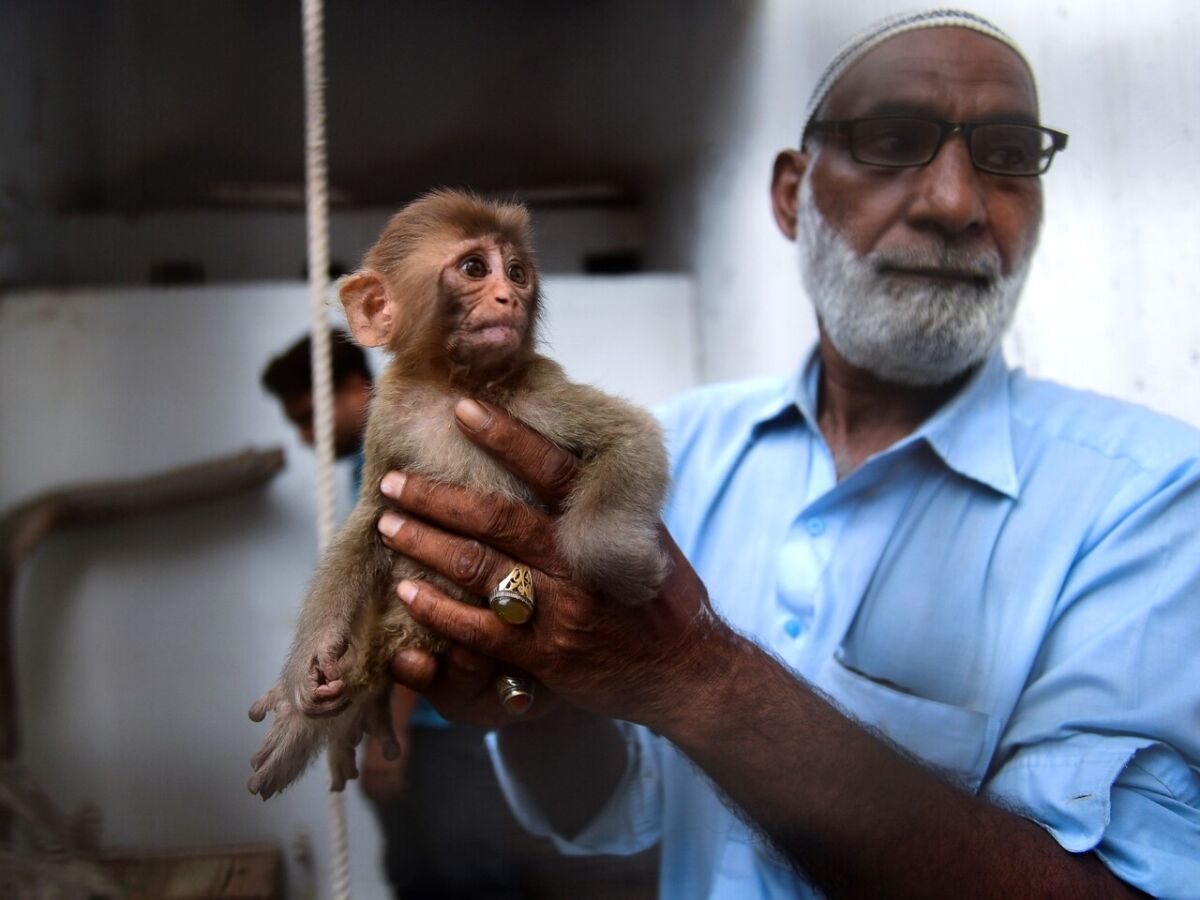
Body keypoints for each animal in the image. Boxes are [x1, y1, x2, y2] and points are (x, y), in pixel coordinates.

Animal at [247, 187, 672, 801]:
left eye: (516, 272)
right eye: (475, 268)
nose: (507, 296)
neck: (456, 385)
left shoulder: (538, 389)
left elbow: (631, 436)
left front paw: (623, 567)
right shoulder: (389, 418)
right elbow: (370, 523)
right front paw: (311, 663)